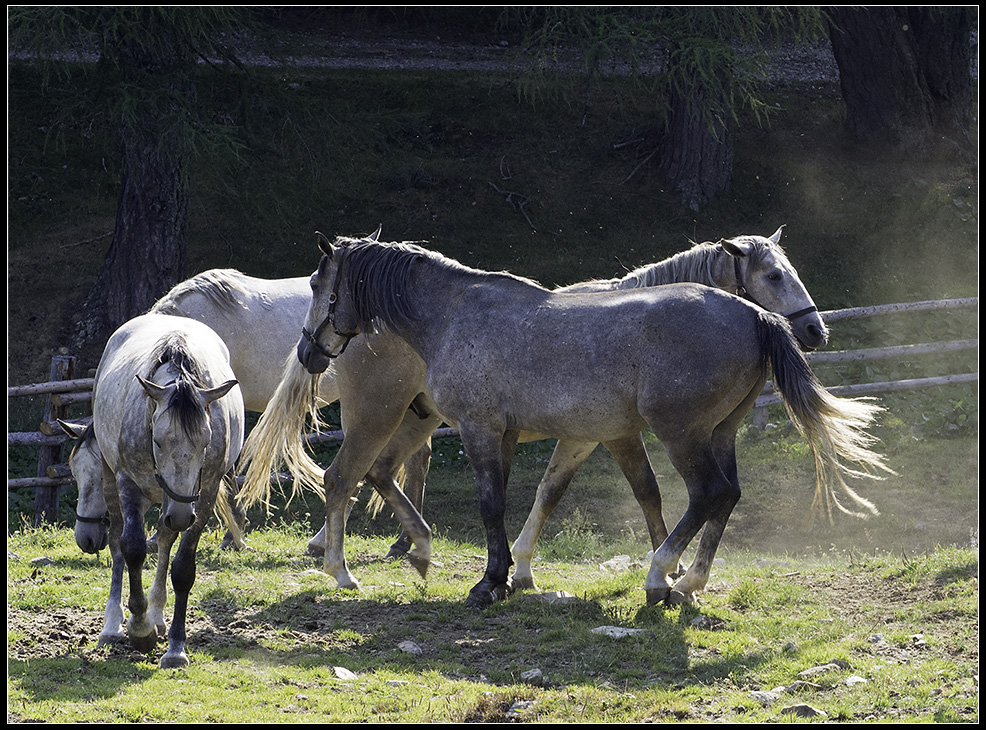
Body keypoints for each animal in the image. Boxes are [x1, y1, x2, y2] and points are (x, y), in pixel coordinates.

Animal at [92, 312, 244, 664]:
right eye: (159, 441)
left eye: (206, 441)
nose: (181, 515)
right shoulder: (128, 483)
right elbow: (132, 548)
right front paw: (139, 629)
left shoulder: (203, 496)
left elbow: (183, 568)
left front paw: (175, 646)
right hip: (113, 480)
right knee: (117, 542)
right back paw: (113, 625)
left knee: (164, 539)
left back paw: (158, 614)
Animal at [286, 236, 892, 604]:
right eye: (773, 274)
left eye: (317, 286)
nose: (309, 351)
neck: (453, 314)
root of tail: (755, 316)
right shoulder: (517, 435)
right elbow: (528, 499)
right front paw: (508, 575)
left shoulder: (486, 431)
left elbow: (497, 505)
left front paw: (491, 583)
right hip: (718, 433)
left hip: (683, 434)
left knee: (710, 493)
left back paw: (663, 576)